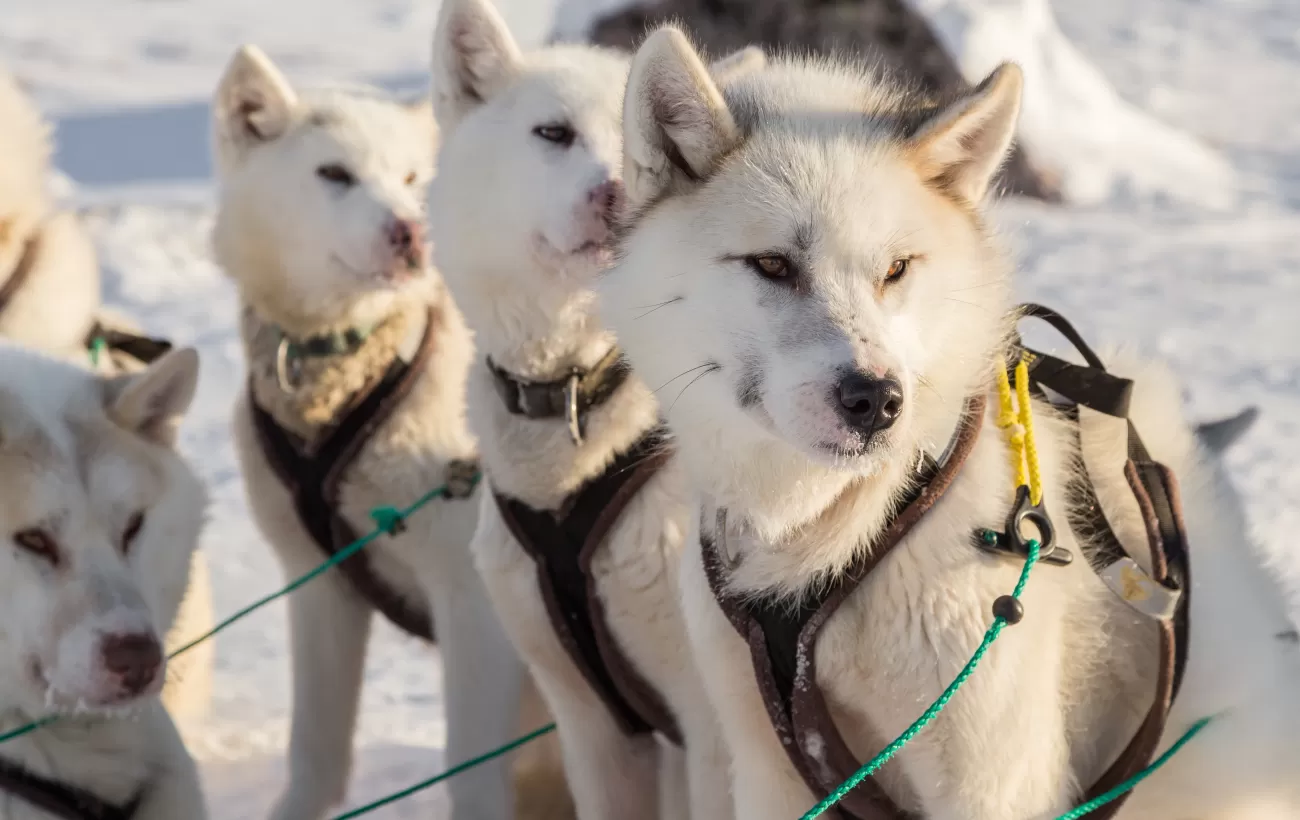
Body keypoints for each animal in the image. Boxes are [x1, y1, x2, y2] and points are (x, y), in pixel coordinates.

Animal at [213, 43, 569, 820]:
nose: (411, 232)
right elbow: (315, 745)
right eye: (334, 174)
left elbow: (471, 763)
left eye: (411, 178)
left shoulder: (473, 601)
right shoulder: (318, 585)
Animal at [598, 25, 1300, 820]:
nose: (876, 399)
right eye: (772, 265)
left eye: (897, 268)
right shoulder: (768, 770)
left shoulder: (990, 781)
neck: (834, 531)